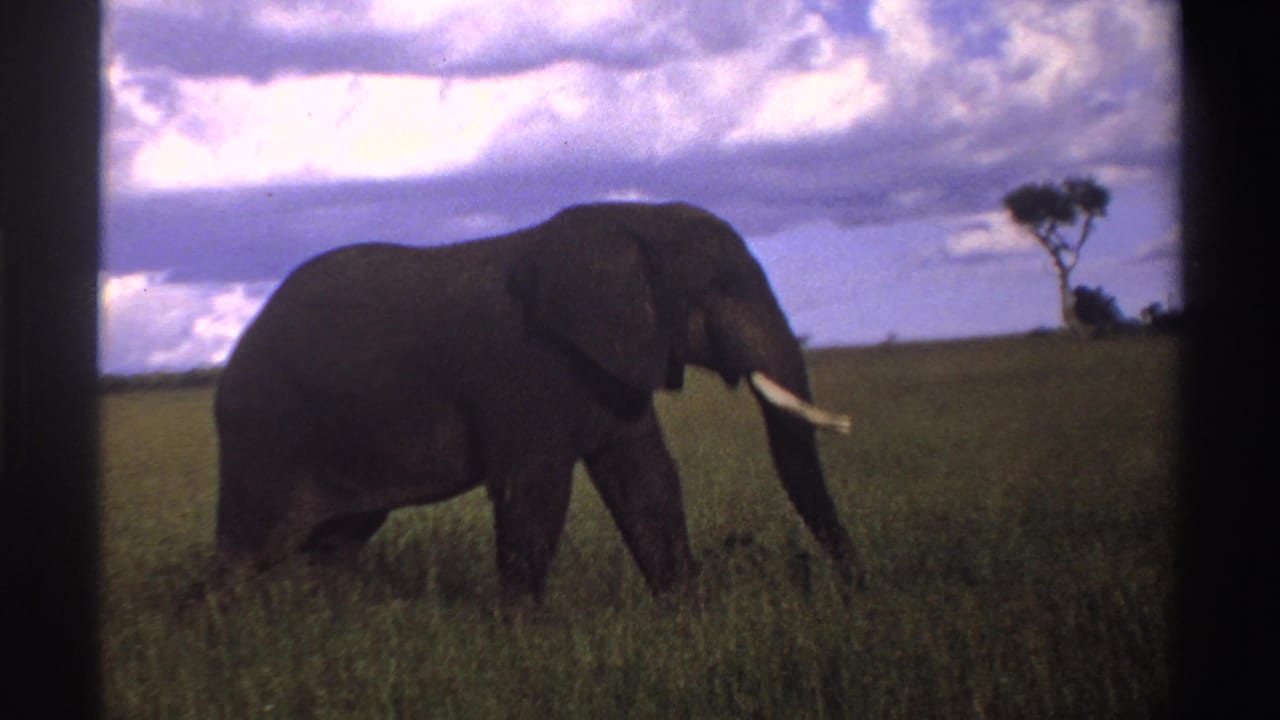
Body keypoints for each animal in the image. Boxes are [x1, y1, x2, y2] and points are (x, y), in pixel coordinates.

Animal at [214, 201, 863, 604]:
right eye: (721, 287)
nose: (853, 587)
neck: (629, 219)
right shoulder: (526, 367)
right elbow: (535, 489)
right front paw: (523, 637)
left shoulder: (613, 367)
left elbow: (647, 480)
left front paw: (689, 615)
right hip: (266, 429)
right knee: (251, 547)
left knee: (338, 540)